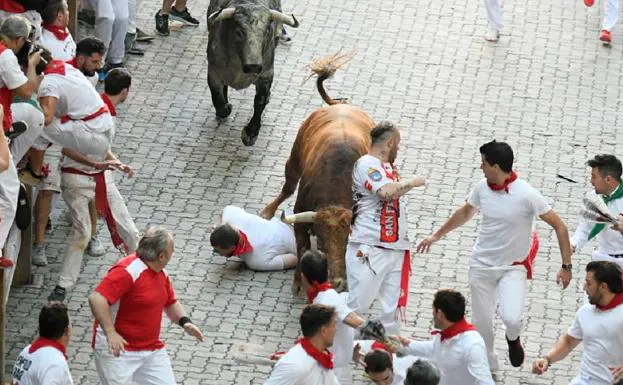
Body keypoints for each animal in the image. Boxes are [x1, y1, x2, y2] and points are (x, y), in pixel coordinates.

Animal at [207, 0, 300, 144]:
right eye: (239, 32)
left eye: (267, 31)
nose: (253, 66)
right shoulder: (213, 72)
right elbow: (218, 98)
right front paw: (226, 107)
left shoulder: (266, 74)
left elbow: (260, 101)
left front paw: (250, 133)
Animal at [260, 54, 376, 292]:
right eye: (321, 242)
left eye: (347, 244)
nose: (338, 282)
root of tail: (341, 105)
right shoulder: (300, 219)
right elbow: (302, 248)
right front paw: (298, 283)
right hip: (294, 159)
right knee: (288, 187)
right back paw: (267, 211)